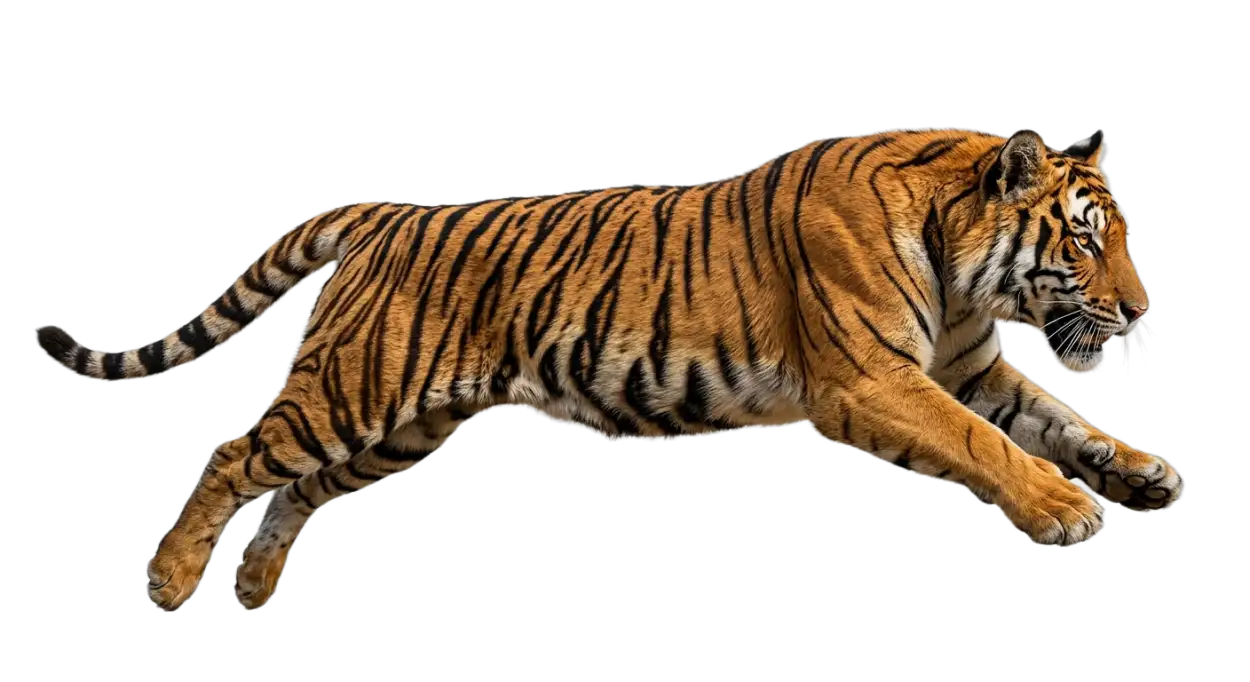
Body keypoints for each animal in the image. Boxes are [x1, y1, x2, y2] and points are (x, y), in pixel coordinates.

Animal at [34, 126, 1182, 612]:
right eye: (1084, 242)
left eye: (1122, 239)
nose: (1139, 310)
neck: (964, 274)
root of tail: (377, 211)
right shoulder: (873, 378)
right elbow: (985, 443)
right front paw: (1064, 510)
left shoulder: (968, 364)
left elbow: (1056, 419)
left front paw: (1140, 472)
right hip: (353, 391)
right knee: (235, 454)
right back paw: (173, 580)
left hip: (400, 428)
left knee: (298, 491)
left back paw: (257, 586)